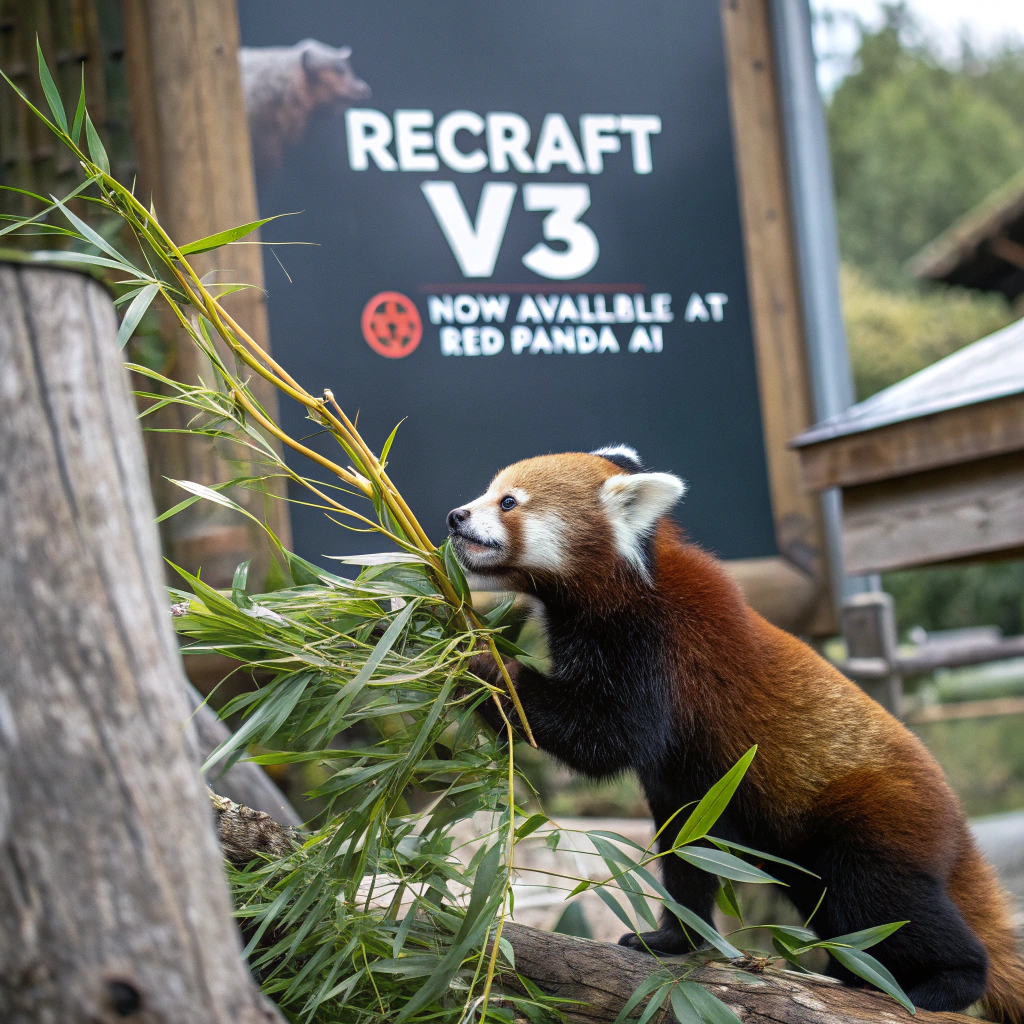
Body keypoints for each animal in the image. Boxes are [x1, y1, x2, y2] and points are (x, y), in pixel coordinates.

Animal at [448, 446, 1024, 1020]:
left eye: (507, 502)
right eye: (486, 492)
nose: (455, 516)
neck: (626, 580)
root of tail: (956, 825)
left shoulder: (656, 651)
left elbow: (598, 739)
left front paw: (472, 656)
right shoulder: (688, 787)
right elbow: (686, 852)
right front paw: (672, 939)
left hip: (872, 823)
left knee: (888, 903)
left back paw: (944, 983)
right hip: (799, 855)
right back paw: (852, 972)